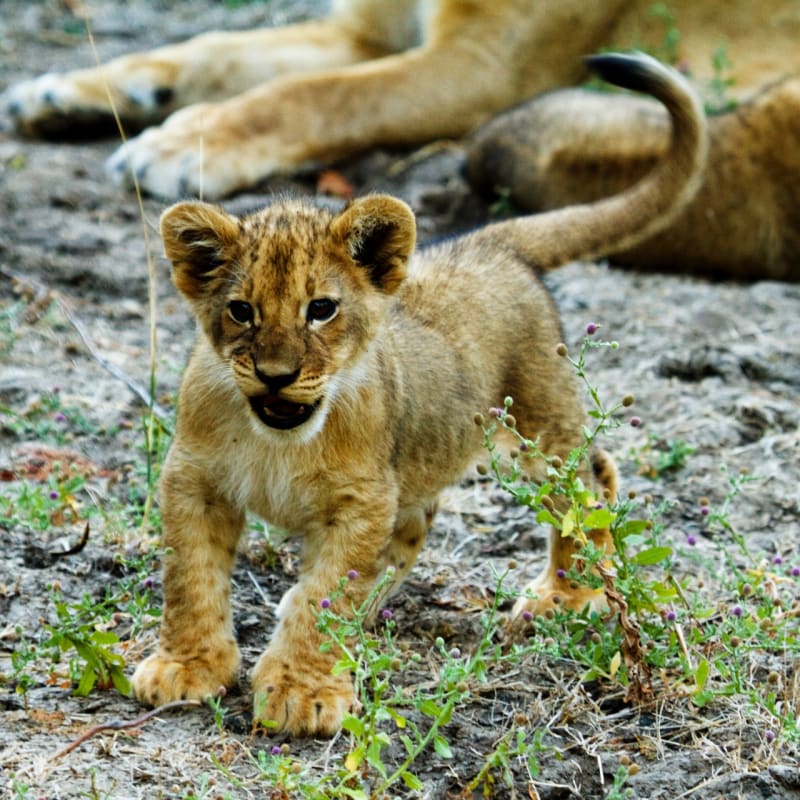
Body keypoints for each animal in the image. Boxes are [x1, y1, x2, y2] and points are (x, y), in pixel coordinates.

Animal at [2, 0, 794, 201]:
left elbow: (313, 97)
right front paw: (70, 91)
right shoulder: (367, 29)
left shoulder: (482, 69)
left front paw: (178, 144)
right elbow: (220, 48)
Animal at [130, 53, 708, 737]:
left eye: (321, 309)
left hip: (539, 427)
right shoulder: (193, 479)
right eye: (241, 311)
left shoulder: (361, 501)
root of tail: (491, 242)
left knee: (588, 483)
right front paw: (187, 667)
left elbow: (326, 594)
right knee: (429, 521)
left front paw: (302, 691)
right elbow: (189, 577)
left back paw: (568, 594)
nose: (275, 375)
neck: (279, 439)